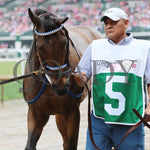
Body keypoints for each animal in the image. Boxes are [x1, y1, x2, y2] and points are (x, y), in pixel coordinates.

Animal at [22, 8, 101, 150]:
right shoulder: (35, 113)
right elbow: (30, 145)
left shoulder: (71, 111)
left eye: (64, 43)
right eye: (39, 47)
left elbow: (71, 144)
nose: (61, 86)